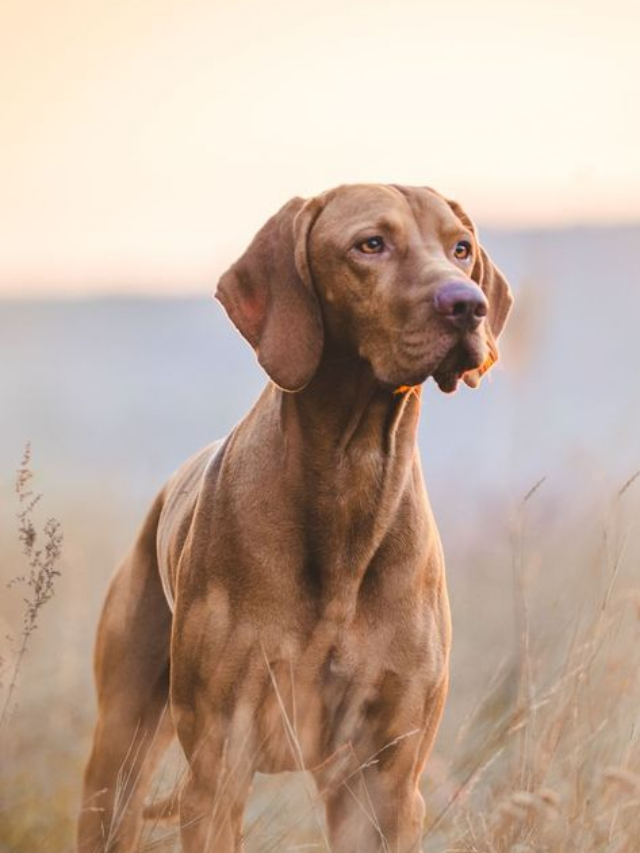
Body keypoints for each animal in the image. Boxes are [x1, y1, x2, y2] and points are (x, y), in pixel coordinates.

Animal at [77, 181, 512, 852]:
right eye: (370, 244)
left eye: (461, 248)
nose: (469, 306)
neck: (351, 480)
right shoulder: (219, 766)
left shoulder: (386, 780)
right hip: (118, 758)